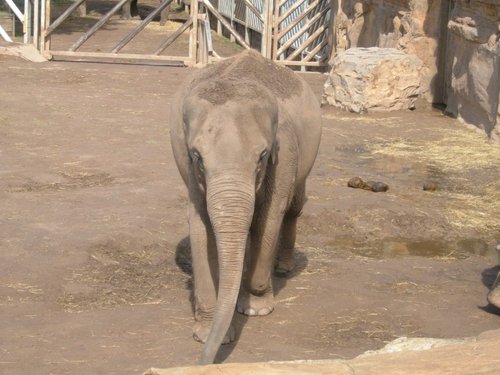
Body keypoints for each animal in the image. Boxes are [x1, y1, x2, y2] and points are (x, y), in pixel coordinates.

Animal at [170, 49, 322, 364]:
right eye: (197, 156)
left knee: (294, 208)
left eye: (262, 156)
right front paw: (207, 332)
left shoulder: (284, 152)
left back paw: (283, 268)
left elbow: (269, 218)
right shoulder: (191, 172)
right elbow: (201, 227)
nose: (203, 362)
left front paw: (255, 307)